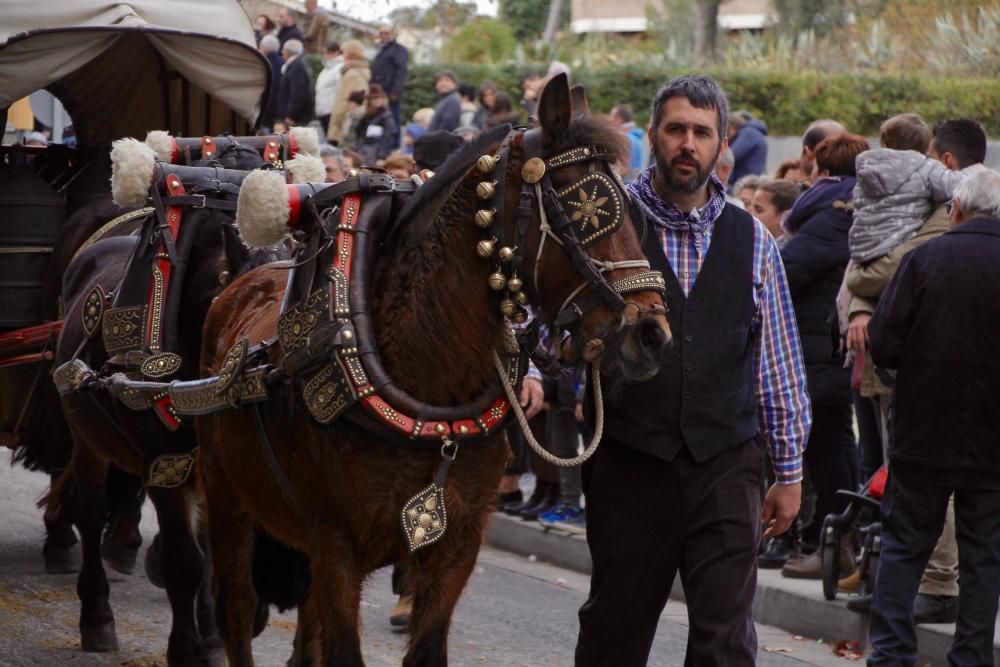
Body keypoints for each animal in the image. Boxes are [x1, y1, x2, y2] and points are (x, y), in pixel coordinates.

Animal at [198, 75, 672, 664]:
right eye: (582, 206)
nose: (651, 334)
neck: (428, 386)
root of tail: (246, 277)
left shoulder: (457, 547)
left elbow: (424, 648)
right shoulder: (336, 545)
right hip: (226, 496)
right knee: (236, 609)